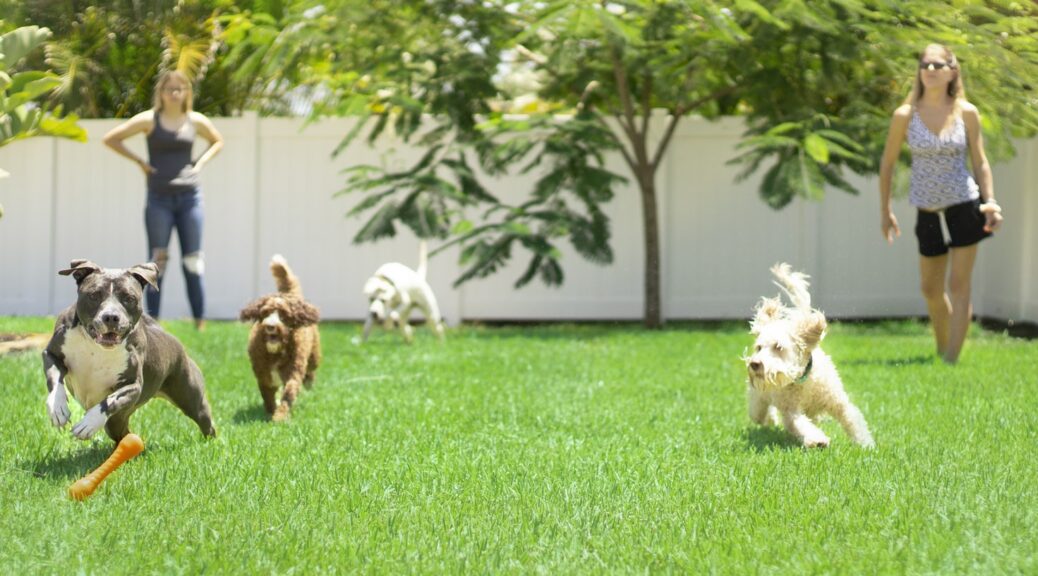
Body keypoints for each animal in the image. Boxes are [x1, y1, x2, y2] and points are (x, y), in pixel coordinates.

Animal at [747, 263, 876, 448]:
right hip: (758, 399)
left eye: (778, 347)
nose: (755, 364)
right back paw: (771, 420)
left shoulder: (838, 402)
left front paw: (865, 444)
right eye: (759, 347)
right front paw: (817, 439)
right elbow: (800, 424)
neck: (804, 381)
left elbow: (852, 420)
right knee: (760, 413)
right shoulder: (791, 411)